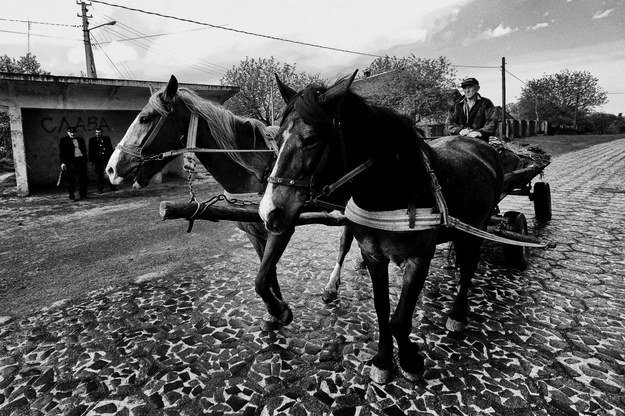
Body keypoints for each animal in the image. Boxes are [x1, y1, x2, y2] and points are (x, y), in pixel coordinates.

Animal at [105, 75, 354, 328]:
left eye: (145, 118)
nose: (111, 168)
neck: (255, 169)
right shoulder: (253, 231)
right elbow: (268, 273)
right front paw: (274, 311)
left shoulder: (281, 226)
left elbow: (261, 278)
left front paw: (280, 311)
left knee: (346, 241)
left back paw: (332, 286)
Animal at [256, 74, 504, 384]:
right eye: (276, 139)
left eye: (311, 139)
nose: (269, 211)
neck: (395, 188)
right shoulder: (374, 255)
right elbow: (382, 309)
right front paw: (385, 360)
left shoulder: (420, 257)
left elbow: (400, 319)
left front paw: (410, 360)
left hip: (477, 228)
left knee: (469, 267)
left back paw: (458, 314)